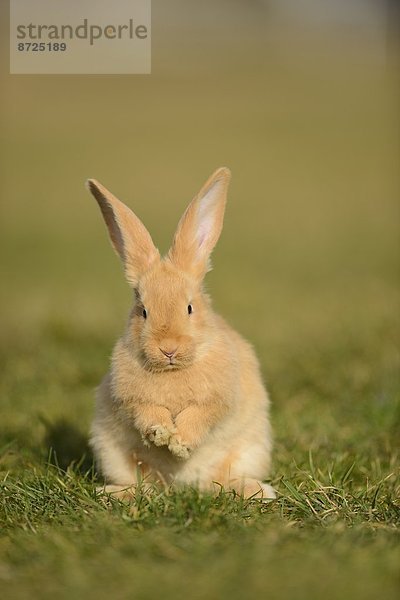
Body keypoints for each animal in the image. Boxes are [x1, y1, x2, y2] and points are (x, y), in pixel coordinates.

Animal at [86, 166, 276, 500]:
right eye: (143, 310)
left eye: (189, 307)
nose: (168, 348)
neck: (174, 370)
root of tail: (184, 485)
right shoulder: (130, 399)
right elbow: (146, 411)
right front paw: (161, 433)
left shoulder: (217, 401)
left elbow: (200, 415)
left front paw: (180, 443)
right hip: (112, 453)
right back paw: (113, 493)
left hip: (249, 450)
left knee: (221, 481)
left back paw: (257, 491)